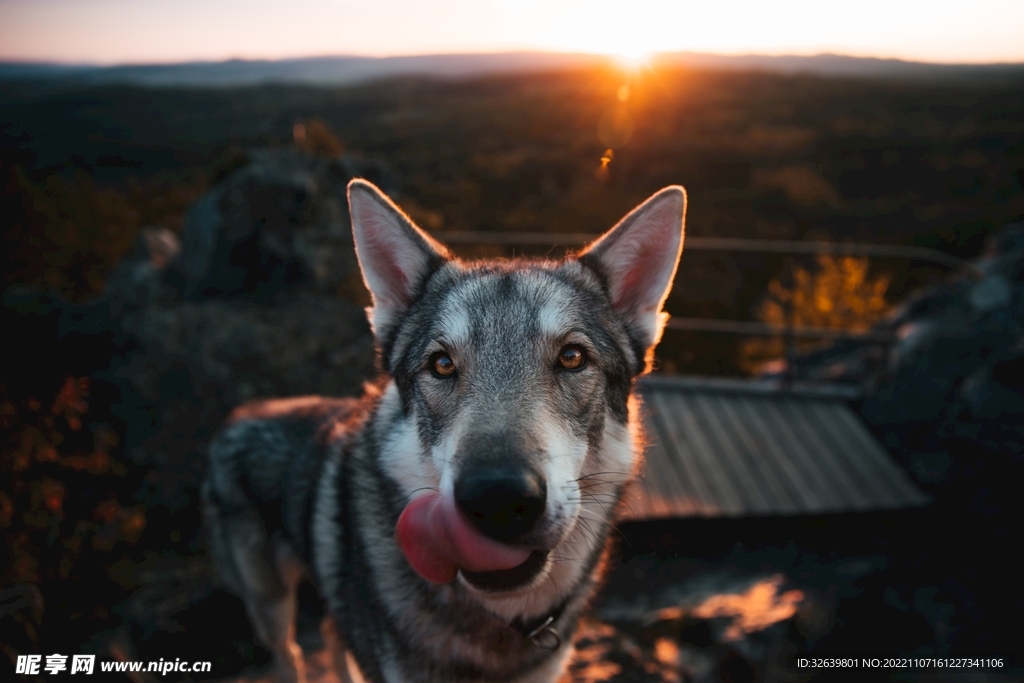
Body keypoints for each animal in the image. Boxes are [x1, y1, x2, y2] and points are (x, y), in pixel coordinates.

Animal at [200, 180, 688, 683]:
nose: (498, 498)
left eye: (572, 357)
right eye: (441, 364)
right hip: (271, 607)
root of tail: (241, 412)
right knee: (292, 653)